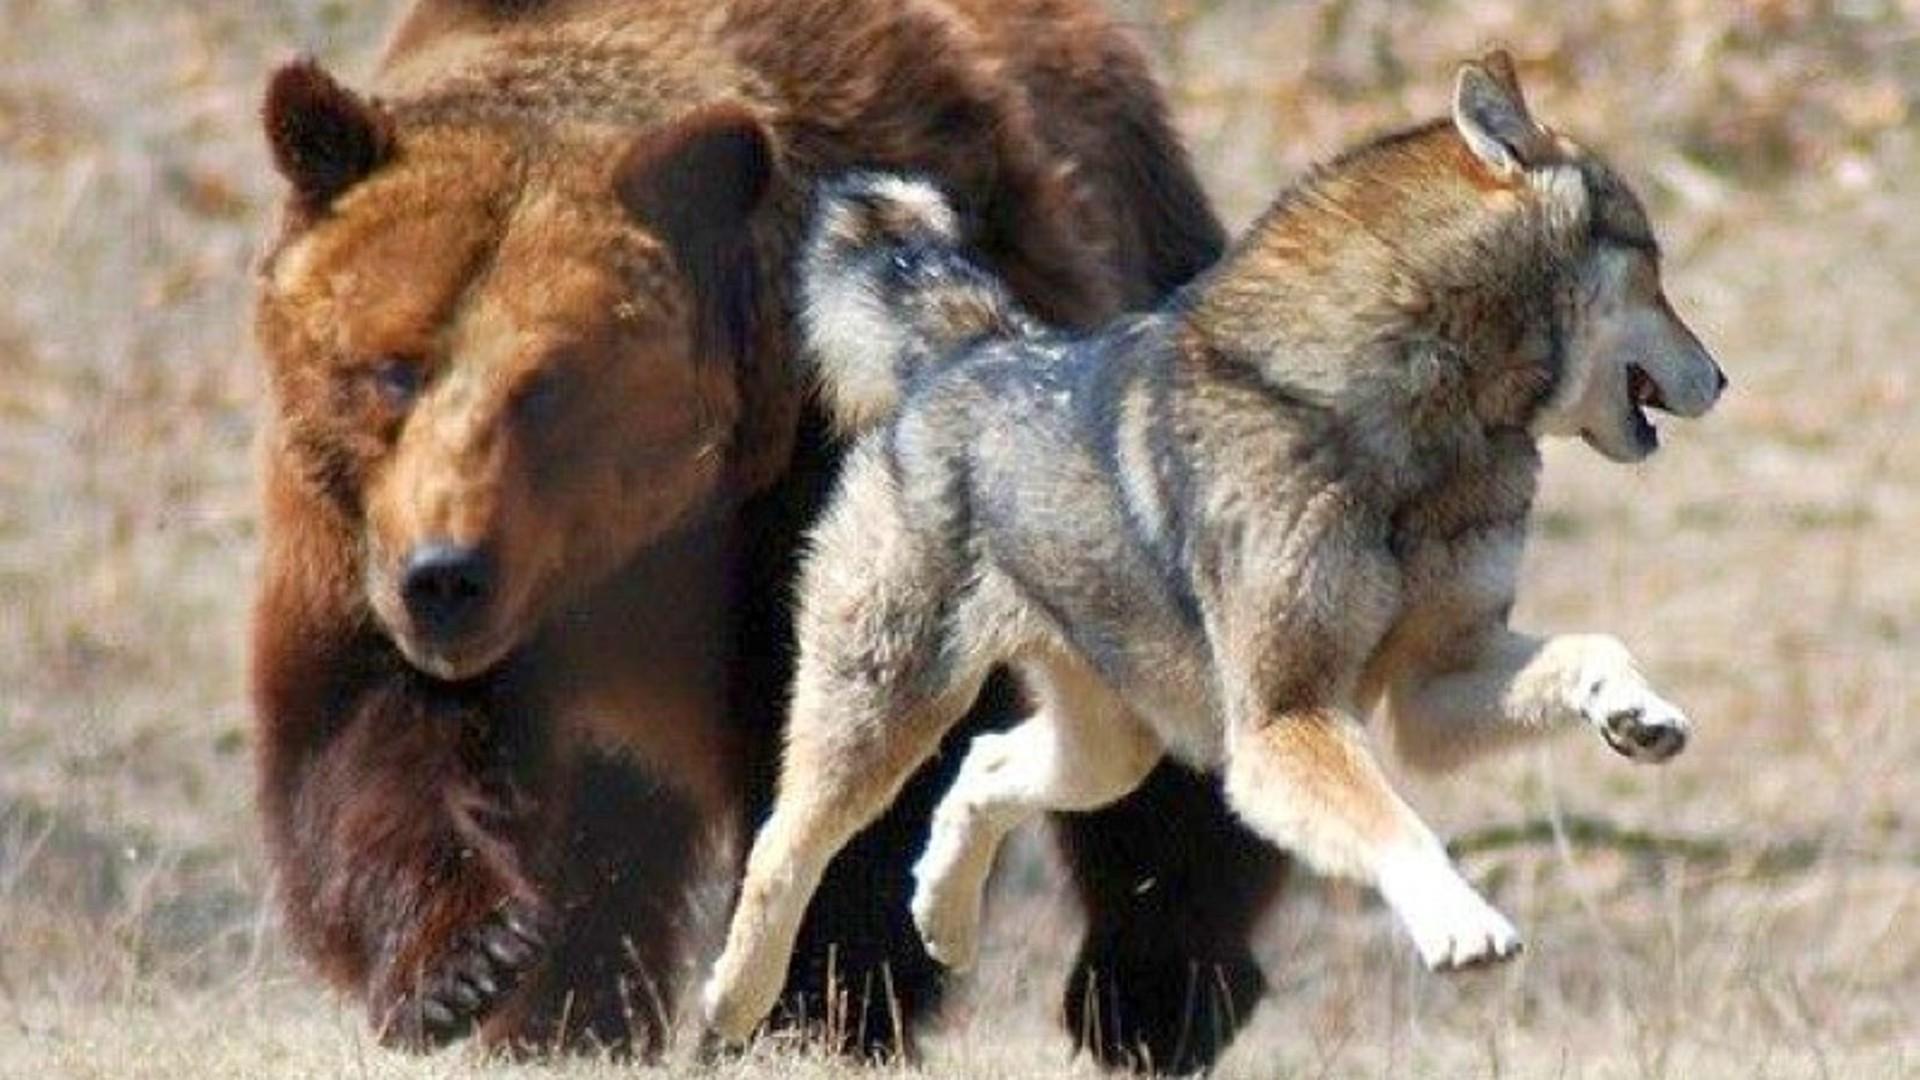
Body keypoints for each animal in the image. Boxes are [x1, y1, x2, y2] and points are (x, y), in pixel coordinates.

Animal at [250, 0, 1282, 1069]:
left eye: (548, 388)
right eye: (393, 367)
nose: (444, 577)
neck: (637, 544)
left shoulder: (803, 500)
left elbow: (853, 762)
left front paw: (812, 1007)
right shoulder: (354, 539)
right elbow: (360, 729)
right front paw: (471, 965)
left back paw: (1155, 992)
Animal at [703, 51, 1727, 1042]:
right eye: (1655, 265)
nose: (1722, 378)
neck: (1419, 425)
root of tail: (969, 348)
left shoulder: (1432, 686)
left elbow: (1592, 649)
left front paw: (1637, 714)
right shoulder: (1281, 724)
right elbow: (1397, 824)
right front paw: (1461, 925)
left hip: (1108, 750)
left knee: (982, 766)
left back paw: (943, 919)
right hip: (883, 715)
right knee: (783, 844)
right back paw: (732, 1003)